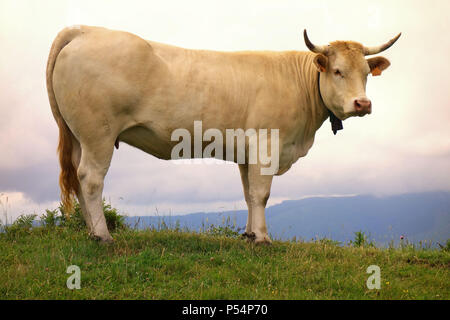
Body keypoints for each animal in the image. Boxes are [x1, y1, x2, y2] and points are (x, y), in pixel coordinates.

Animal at [46, 26, 400, 244]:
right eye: (338, 71)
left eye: (366, 73)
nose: (363, 103)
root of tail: (86, 29)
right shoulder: (267, 144)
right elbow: (262, 194)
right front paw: (263, 238)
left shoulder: (247, 152)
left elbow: (248, 194)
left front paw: (249, 234)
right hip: (98, 134)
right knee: (91, 178)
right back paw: (102, 235)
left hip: (78, 136)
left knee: (76, 178)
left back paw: (91, 231)